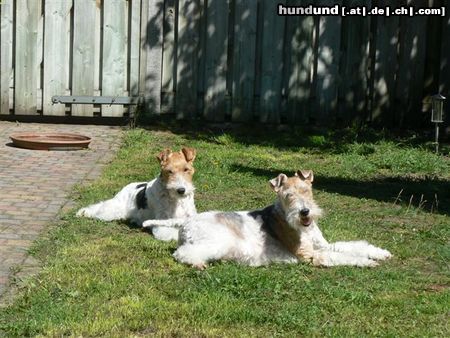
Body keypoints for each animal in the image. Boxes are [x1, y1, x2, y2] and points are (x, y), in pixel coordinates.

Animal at [144, 170, 390, 268]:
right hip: (216, 242)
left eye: (306, 190)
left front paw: (381, 253)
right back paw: (198, 264)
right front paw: (367, 262)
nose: (305, 213)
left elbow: (352, 246)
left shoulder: (323, 245)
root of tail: (186, 222)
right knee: (182, 253)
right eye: (288, 195)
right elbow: (342, 256)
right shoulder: (309, 255)